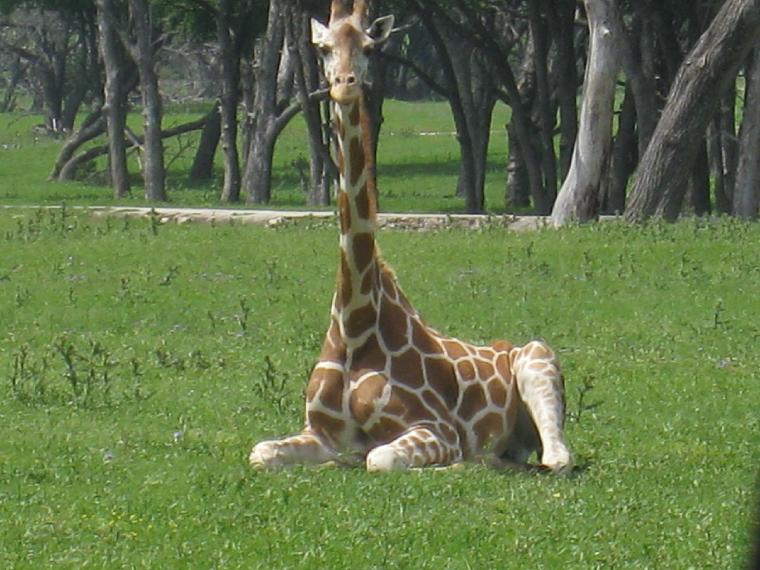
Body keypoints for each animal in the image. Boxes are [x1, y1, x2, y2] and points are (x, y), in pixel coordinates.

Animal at [249, 0, 568, 470]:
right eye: (323, 48)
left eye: (369, 46)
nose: (344, 86)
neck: (354, 323)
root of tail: (505, 344)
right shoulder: (317, 432)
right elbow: (261, 452)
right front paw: (329, 462)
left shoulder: (437, 428)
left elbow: (379, 457)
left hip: (538, 358)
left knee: (556, 458)